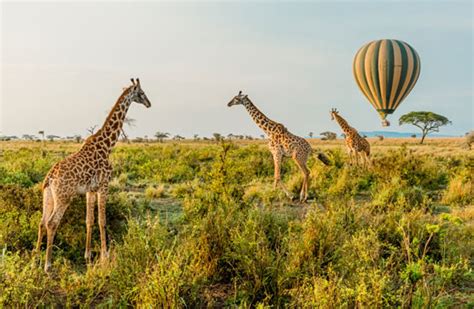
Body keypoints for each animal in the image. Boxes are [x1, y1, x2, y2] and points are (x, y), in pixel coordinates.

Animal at [36, 78, 151, 270]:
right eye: (141, 93)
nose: (149, 103)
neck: (107, 146)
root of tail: (49, 178)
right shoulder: (104, 185)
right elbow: (102, 221)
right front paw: (105, 256)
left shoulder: (90, 190)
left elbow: (89, 220)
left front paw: (88, 255)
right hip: (64, 197)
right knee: (52, 223)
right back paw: (48, 265)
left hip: (49, 196)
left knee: (42, 222)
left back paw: (35, 259)